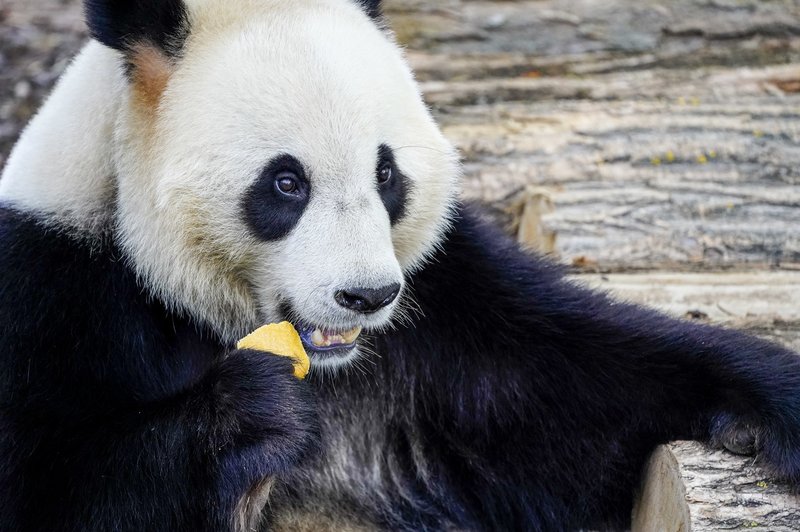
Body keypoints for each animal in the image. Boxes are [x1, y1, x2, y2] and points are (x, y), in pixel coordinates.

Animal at [1, 0, 800, 528]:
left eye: (386, 173)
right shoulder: (55, 291)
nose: (368, 295)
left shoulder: (441, 310)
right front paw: (253, 412)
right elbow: (56, 487)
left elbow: (567, 393)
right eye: (285, 183)